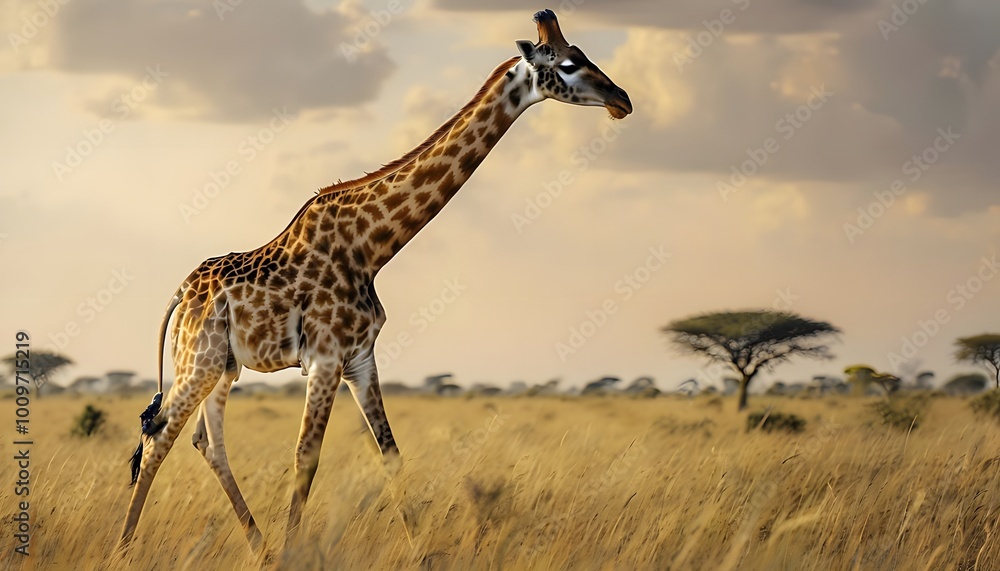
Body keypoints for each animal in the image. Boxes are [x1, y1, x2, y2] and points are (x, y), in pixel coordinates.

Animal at [120, 9, 631, 551]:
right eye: (569, 63)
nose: (623, 101)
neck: (373, 247)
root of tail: (181, 294)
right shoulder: (325, 358)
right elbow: (306, 457)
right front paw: (292, 553)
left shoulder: (360, 358)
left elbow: (390, 454)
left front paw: (420, 552)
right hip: (199, 361)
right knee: (159, 436)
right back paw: (124, 548)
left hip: (225, 367)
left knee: (205, 440)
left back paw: (256, 546)